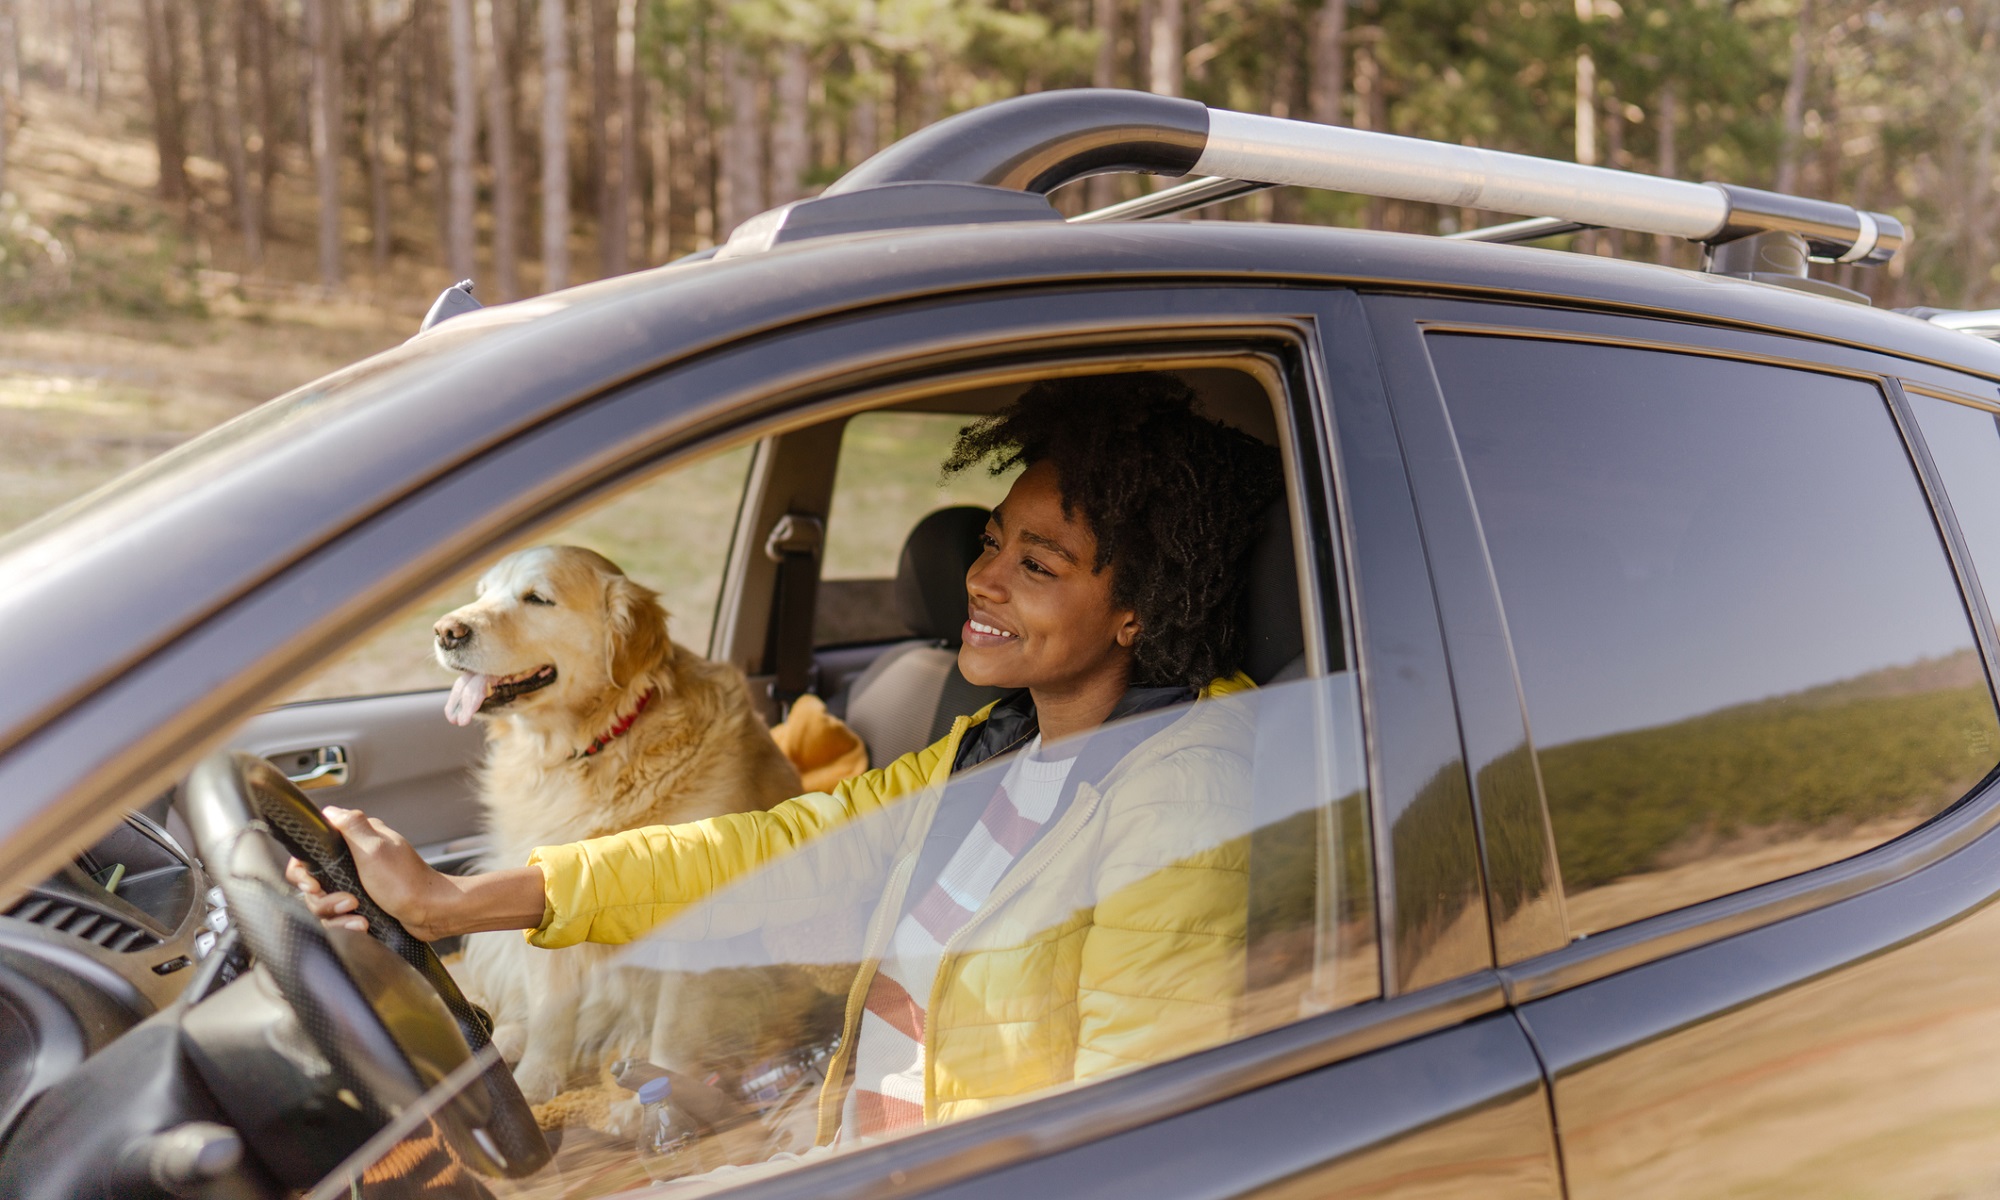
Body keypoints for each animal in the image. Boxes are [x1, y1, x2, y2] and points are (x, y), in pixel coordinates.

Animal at [432, 544, 804, 1104]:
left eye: (537, 598)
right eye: (482, 593)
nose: (445, 630)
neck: (597, 746)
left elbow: (674, 1024)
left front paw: (665, 1093)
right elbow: (550, 1006)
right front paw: (537, 1081)